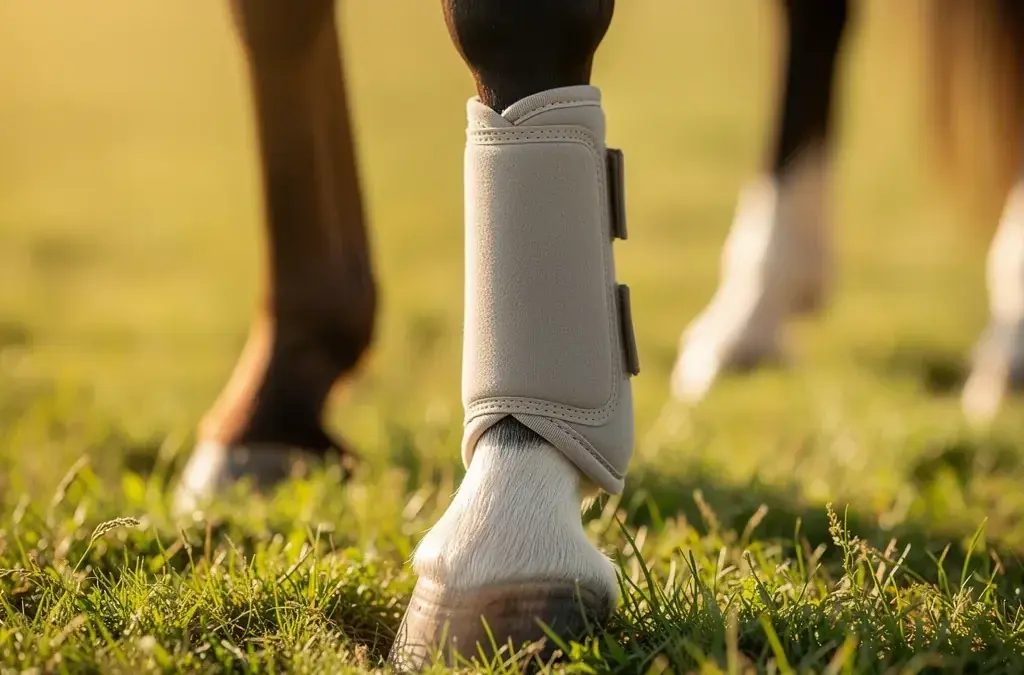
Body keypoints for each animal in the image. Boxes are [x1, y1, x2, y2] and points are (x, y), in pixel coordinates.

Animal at [82, 0, 1021, 668]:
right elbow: (278, 20)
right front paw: (276, 402)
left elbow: (510, 19)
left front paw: (505, 508)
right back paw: (758, 305)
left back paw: (1004, 334)